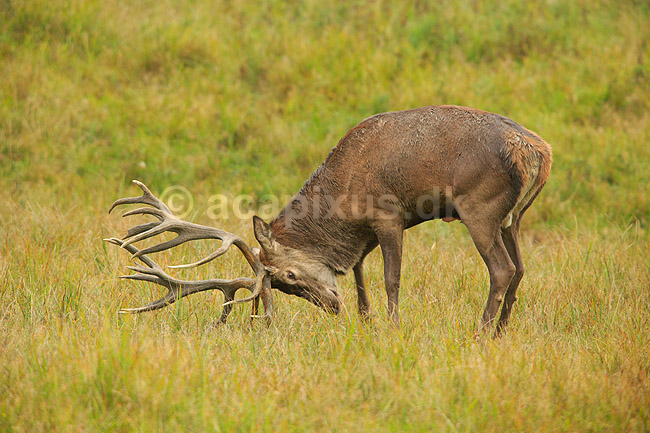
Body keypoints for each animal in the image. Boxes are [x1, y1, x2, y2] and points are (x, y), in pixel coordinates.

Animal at [106, 105, 551, 336]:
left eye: (287, 277)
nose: (331, 307)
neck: (344, 200)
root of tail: (538, 152)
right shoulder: (365, 235)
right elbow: (358, 273)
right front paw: (366, 320)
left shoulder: (388, 215)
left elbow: (391, 278)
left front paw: (392, 327)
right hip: (512, 218)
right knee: (520, 268)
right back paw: (502, 330)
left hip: (480, 208)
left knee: (501, 268)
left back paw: (481, 333)